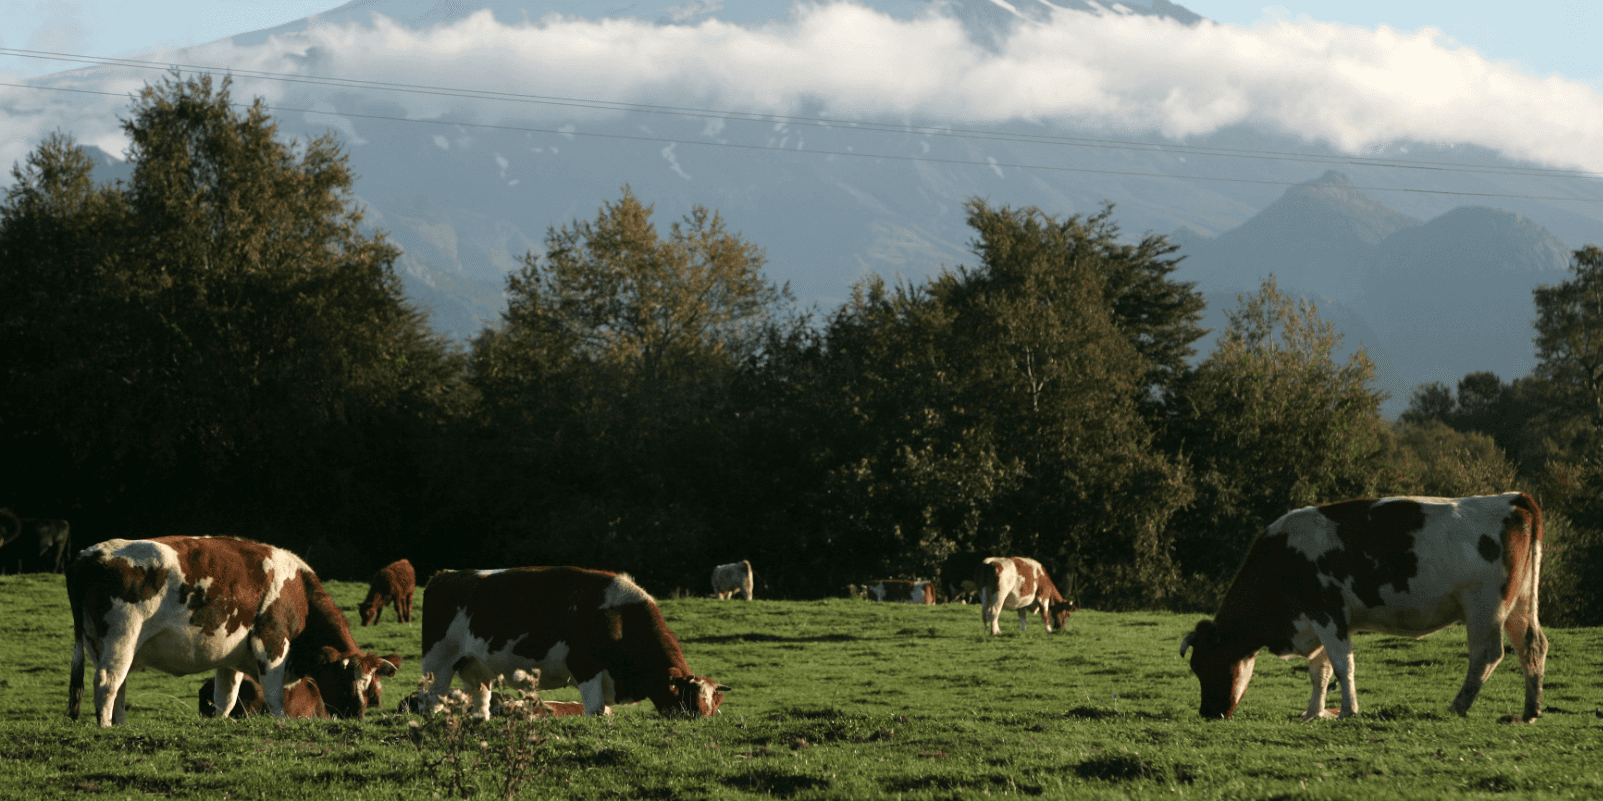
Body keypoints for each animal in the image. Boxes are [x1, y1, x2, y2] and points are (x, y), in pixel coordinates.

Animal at [66, 536, 402, 727]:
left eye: (372, 691)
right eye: (344, 683)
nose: (355, 719)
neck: (299, 593)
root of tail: (91, 554)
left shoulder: (230, 658)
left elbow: (225, 698)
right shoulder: (272, 642)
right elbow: (274, 696)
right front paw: (281, 723)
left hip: (100, 643)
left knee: (118, 685)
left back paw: (120, 725)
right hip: (121, 636)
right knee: (107, 682)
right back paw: (106, 727)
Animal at [416, 566, 729, 719]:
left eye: (714, 705)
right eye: (689, 700)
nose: (703, 722)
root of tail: (446, 575)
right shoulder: (586, 666)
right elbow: (596, 710)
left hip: (475, 666)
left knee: (480, 700)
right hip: (438, 661)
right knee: (431, 698)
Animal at [1179, 493, 1547, 723]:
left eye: (1206, 664)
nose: (1207, 714)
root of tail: (1512, 499)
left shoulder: (1328, 613)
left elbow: (1343, 666)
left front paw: (1347, 711)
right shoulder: (1318, 623)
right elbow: (1320, 671)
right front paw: (1313, 713)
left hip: (1485, 607)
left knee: (1487, 655)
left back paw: (1458, 705)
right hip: (1520, 605)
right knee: (1532, 646)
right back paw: (1530, 711)